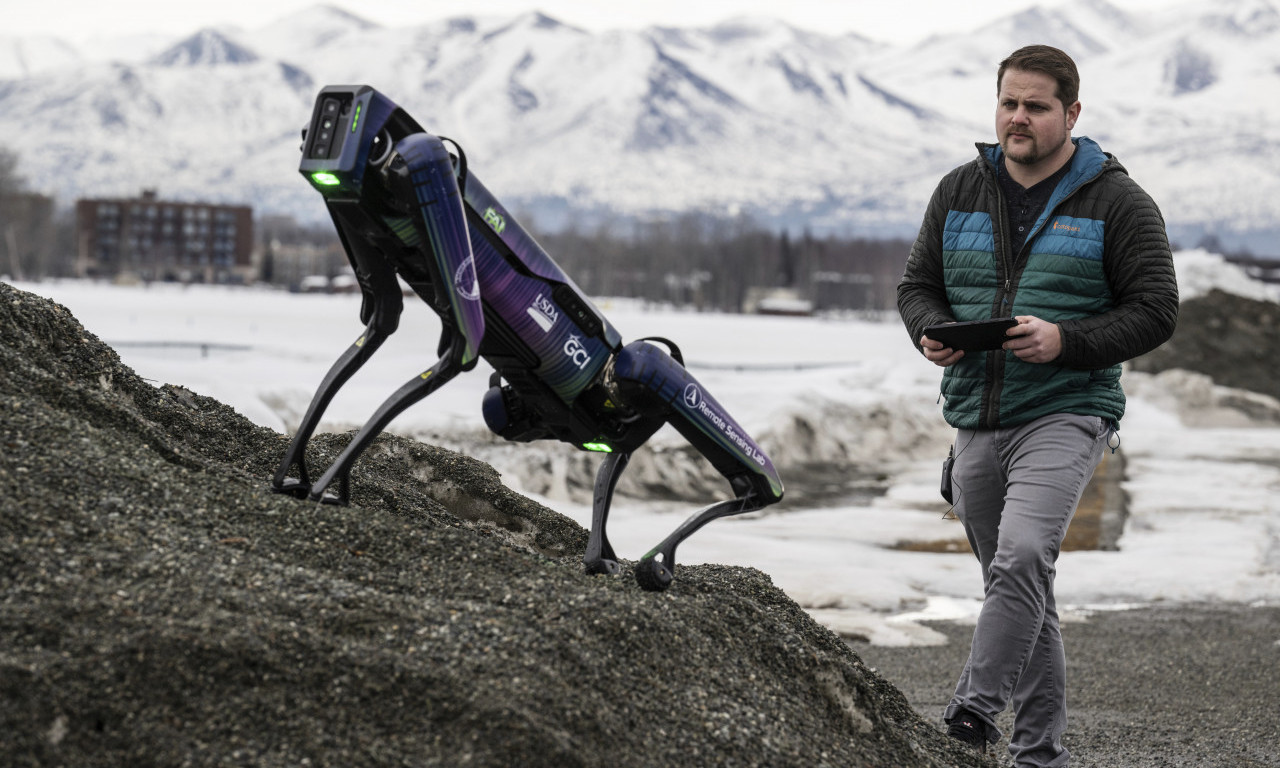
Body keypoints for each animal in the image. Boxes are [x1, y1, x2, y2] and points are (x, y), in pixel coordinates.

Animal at [275, 85, 783, 588]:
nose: (326, 143)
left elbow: (454, 349)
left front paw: (321, 488)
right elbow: (387, 329)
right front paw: (301, 484)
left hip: (638, 373)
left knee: (741, 465)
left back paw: (649, 559)